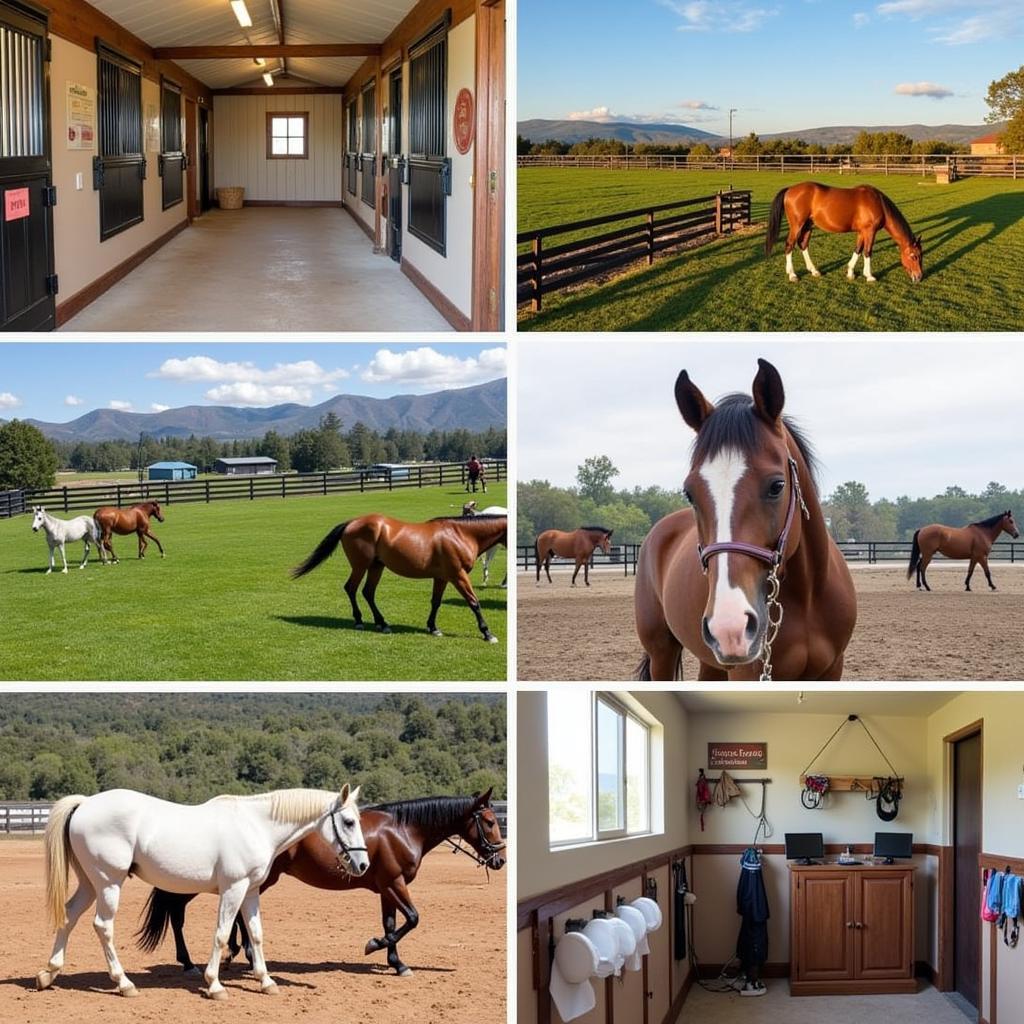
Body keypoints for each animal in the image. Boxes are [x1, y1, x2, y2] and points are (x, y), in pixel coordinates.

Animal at [37, 782, 370, 999]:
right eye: (348, 821)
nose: (363, 864)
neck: (256, 826)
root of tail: (85, 803)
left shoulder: (251, 891)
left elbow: (256, 934)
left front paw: (266, 981)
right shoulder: (233, 889)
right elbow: (223, 935)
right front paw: (215, 985)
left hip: (90, 882)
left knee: (69, 916)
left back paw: (48, 974)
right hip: (109, 882)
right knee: (103, 926)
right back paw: (124, 984)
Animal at [138, 786, 505, 978]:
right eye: (488, 821)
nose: (500, 860)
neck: (403, 829)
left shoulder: (386, 888)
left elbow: (391, 925)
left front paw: (396, 962)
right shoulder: (396, 884)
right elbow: (412, 919)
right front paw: (374, 946)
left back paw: (227, 955)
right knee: (178, 909)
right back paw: (201, 961)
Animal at [292, 516, 507, 643]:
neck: (460, 534)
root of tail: (351, 522)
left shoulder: (441, 577)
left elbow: (436, 602)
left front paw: (433, 628)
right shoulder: (458, 576)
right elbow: (474, 602)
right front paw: (487, 633)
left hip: (376, 566)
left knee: (367, 592)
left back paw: (382, 623)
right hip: (361, 566)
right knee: (351, 588)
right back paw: (360, 621)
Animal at [630, 360, 856, 679]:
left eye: (777, 485)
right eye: (689, 493)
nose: (730, 627)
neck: (808, 596)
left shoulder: (832, 668)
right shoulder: (747, 672)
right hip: (662, 650)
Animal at [765, 180, 925, 284]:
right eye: (914, 256)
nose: (919, 277)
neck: (878, 203)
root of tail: (790, 189)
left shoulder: (861, 232)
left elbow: (858, 250)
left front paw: (850, 272)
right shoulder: (870, 231)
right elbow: (867, 252)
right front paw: (869, 276)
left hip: (807, 226)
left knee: (803, 245)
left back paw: (814, 271)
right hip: (797, 225)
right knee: (789, 245)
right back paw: (792, 274)